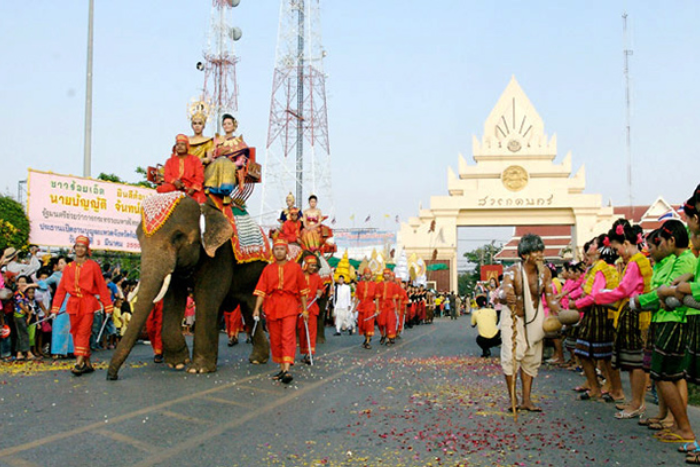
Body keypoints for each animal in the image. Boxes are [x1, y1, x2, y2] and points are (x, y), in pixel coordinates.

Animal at [107, 195, 270, 380]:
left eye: (178, 236)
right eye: (138, 238)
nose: (111, 377)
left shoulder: (221, 254)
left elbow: (207, 295)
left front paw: (197, 369)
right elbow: (174, 297)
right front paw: (178, 363)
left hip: (257, 273)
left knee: (249, 306)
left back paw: (257, 360)